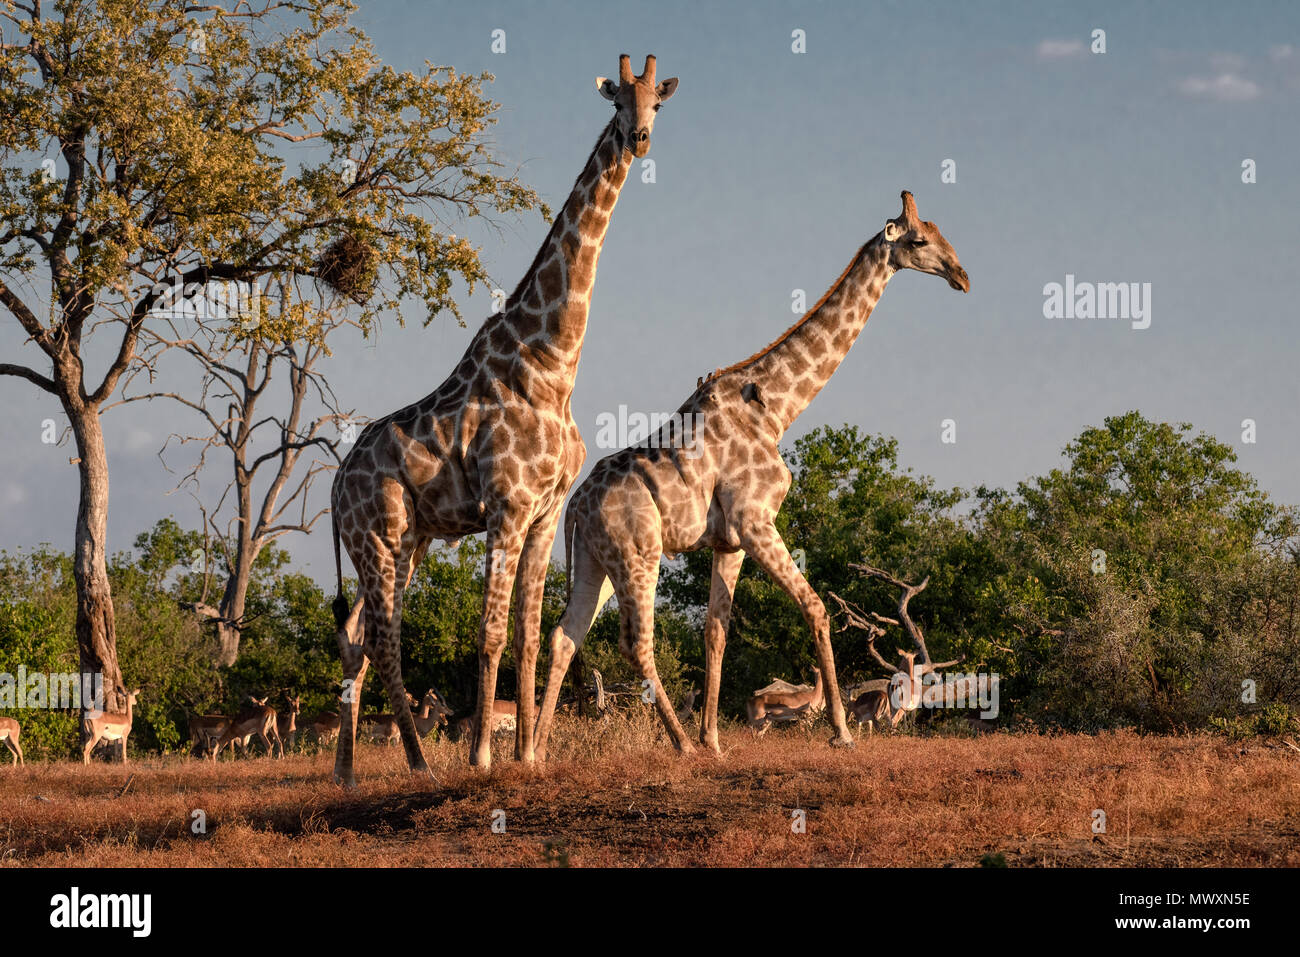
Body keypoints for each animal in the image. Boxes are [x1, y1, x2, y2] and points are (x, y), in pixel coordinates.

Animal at [327, 54, 681, 785]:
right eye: (617, 102)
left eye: (657, 103)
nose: (639, 140)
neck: (552, 361)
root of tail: (335, 483)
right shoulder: (507, 506)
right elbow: (488, 630)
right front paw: (483, 756)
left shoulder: (545, 513)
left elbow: (527, 631)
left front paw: (528, 754)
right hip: (379, 535)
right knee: (383, 638)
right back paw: (418, 763)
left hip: (404, 542)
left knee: (356, 637)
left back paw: (346, 772)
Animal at [533, 191, 972, 759]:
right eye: (919, 240)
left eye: (941, 232)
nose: (961, 275)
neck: (777, 408)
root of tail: (574, 507)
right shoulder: (757, 521)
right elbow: (815, 608)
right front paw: (842, 731)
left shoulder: (731, 540)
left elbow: (716, 631)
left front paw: (716, 741)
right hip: (638, 553)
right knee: (635, 641)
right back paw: (679, 744)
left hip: (594, 559)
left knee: (566, 634)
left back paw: (537, 749)